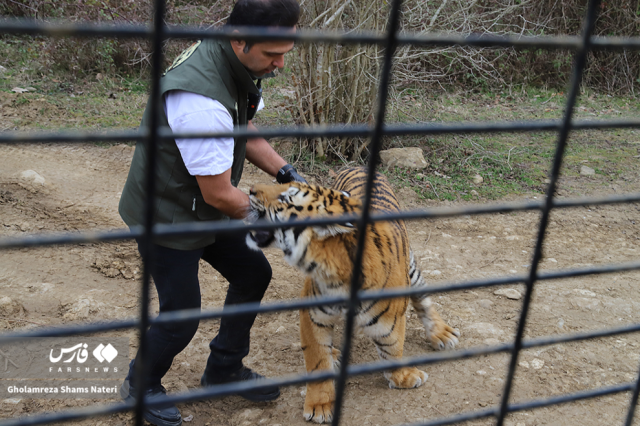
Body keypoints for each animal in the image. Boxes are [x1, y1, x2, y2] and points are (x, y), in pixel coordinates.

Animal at [245, 166, 460, 422]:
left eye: (286, 198)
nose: (250, 189)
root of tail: (358, 165)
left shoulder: (390, 321)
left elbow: (392, 348)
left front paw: (402, 377)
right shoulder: (312, 312)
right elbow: (317, 359)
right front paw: (320, 404)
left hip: (411, 266)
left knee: (423, 298)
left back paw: (442, 333)